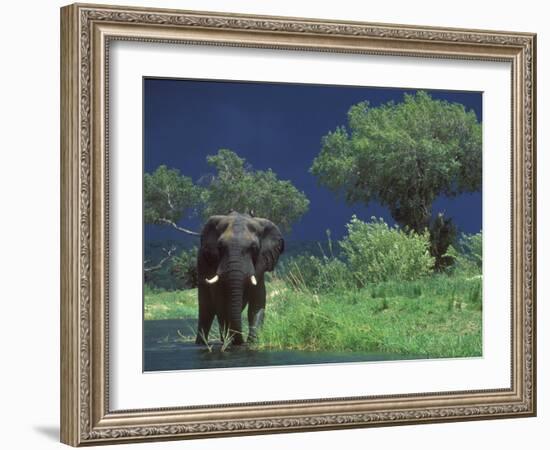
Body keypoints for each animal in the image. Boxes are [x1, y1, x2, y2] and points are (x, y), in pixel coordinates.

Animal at [195, 211, 284, 344]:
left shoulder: (260, 265)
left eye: (254, 248)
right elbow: (220, 302)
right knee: (206, 310)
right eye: (220, 247)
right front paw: (232, 341)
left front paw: (252, 342)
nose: (241, 340)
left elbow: (257, 303)